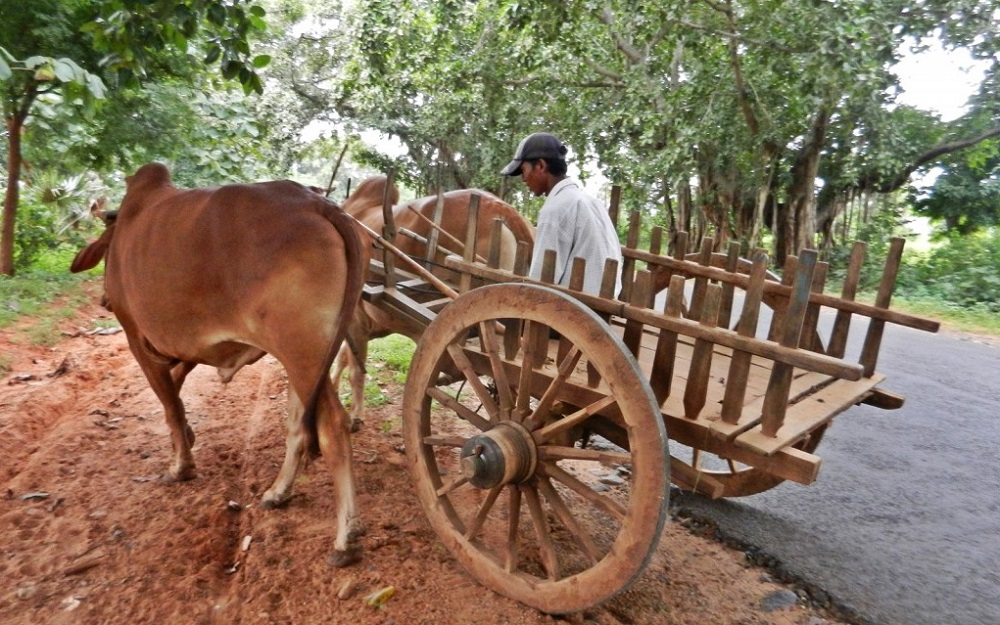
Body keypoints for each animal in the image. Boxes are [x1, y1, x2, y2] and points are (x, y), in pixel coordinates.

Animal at [71, 163, 368, 566]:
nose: (102, 300)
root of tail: (320, 204)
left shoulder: (138, 338)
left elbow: (170, 405)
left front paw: (180, 466)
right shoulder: (185, 347)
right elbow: (176, 391)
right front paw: (189, 440)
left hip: (301, 352)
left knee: (332, 426)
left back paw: (345, 538)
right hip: (310, 355)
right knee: (299, 425)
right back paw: (278, 492)